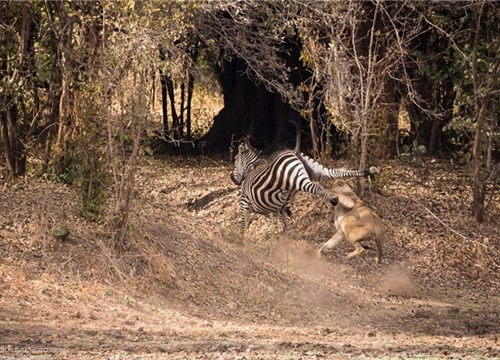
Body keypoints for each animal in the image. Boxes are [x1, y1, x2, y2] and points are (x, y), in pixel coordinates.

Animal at [230, 137, 378, 236]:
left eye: (236, 159)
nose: (232, 179)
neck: (253, 169)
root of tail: (294, 152)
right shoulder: (276, 208)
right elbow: (281, 221)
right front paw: (280, 237)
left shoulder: (245, 201)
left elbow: (243, 222)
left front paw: (241, 241)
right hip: (318, 170)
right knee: (339, 172)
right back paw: (369, 171)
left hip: (297, 180)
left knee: (317, 187)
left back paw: (333, 200)